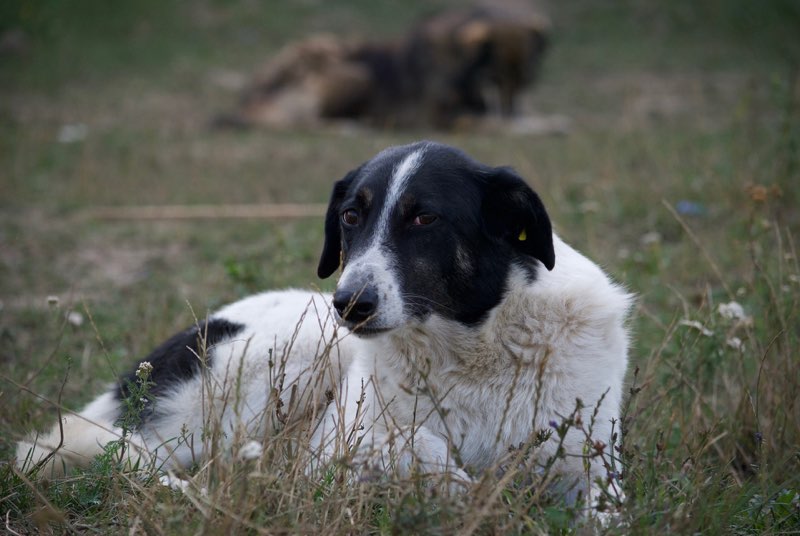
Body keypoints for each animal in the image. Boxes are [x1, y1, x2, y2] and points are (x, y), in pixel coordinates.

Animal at [17, 143, 632, 502]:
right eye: (351, 216)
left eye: (424, 218)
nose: (350, 304)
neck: (472, 345)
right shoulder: (339, 447)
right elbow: (414, 448)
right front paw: (466, 489)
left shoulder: (590, 467)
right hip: (289, 356)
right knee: (138, 459)